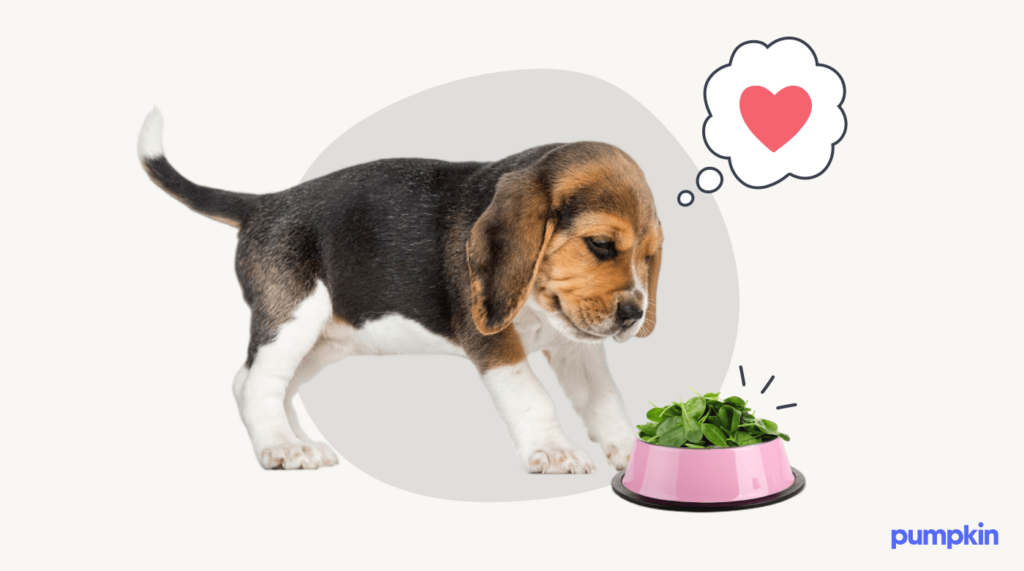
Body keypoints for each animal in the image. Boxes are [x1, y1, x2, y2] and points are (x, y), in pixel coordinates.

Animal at [138, 108, 663, 474]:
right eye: (600, 244)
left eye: (649, 257)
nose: (634, 314)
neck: (537, 307)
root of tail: (263, 204)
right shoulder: (494, 342)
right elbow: (532, 395)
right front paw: (553, 452)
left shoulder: (576, 348)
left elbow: (604, 399)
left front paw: (630, 449)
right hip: (293, 319)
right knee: (259, 383)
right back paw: (281, 446)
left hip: (322, 341)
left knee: (249, 381)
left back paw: (296, 438)